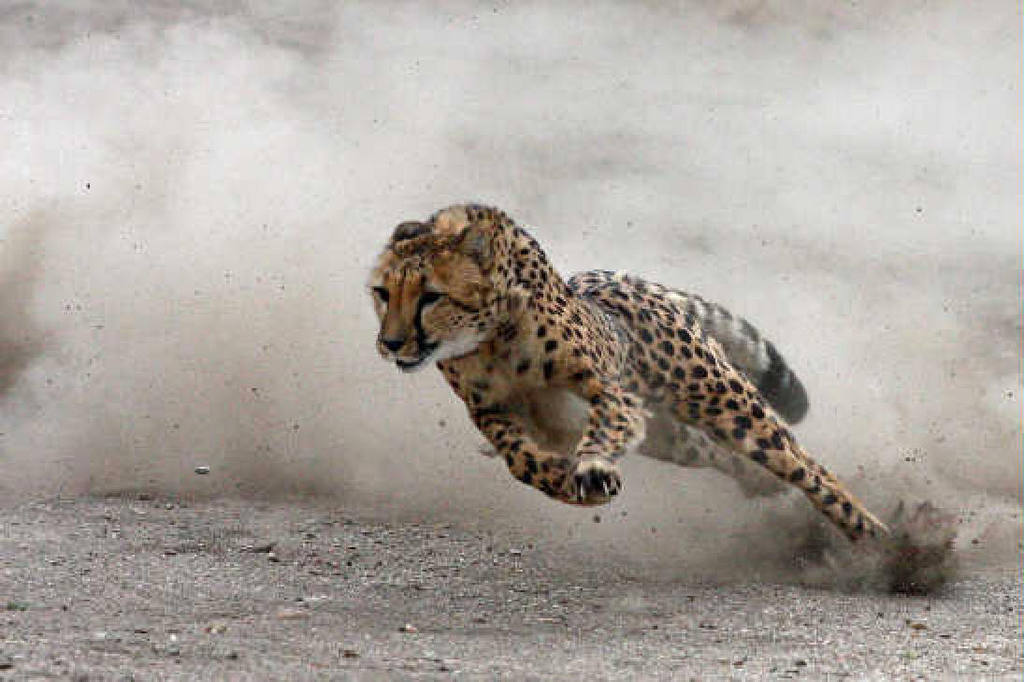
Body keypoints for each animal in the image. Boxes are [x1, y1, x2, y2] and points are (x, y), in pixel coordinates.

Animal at [368, 203, 889, 544]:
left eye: (430, 296)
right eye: (381, 292)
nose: (391, 343)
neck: (488, 338)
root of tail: (619, 280)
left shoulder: (610, 391)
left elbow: (601, 428)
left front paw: (593, 468)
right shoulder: (491, 411)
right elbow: (521, 460)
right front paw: (562, 478)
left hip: (722, 400)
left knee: (803, 464)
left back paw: (876, 534)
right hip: (669, 437)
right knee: (718, 453)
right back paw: (763, 487)